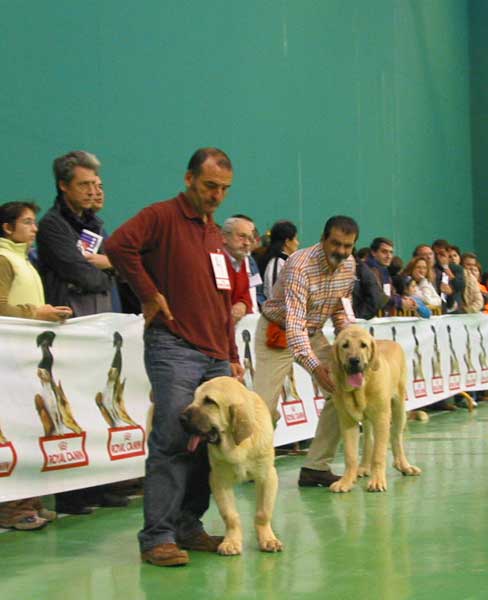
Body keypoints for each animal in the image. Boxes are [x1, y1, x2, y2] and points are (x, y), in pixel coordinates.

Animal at [181, 378, 284, 556]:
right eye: (194, 398)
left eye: (209, 401)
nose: (180, 418)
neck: (237, 445)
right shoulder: (218, 480)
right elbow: (230, 515)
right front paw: (231, 542)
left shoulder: (267, 477)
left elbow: (263, 513)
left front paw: (268, 539)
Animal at [328, 324, 420, 492]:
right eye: (345, 345)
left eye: (363, 345)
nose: (354, 360)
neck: (360, 389)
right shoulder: (347, 421)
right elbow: (350, 455)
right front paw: (346, 481)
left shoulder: (381, 418)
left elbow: (379, 453)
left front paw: (377, 481)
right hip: (366, 420)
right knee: (368, 440)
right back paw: (364, 467)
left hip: (399, 408)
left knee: (396, 437)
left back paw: (404, 466)